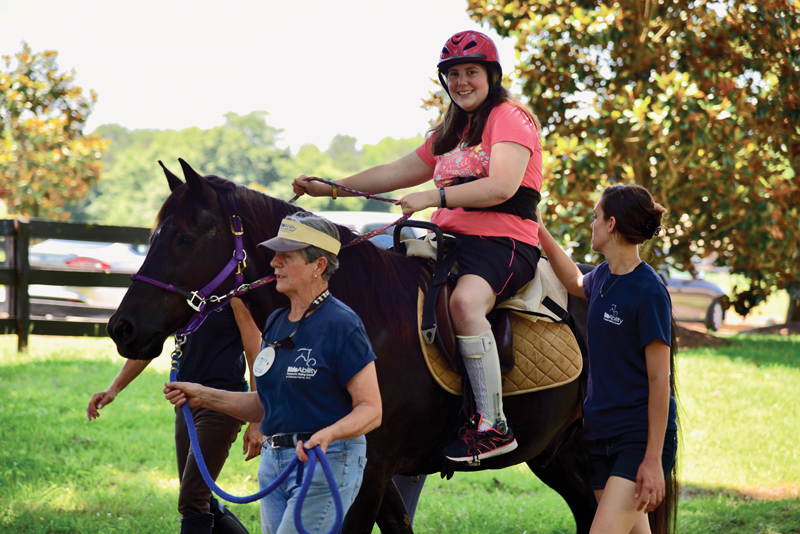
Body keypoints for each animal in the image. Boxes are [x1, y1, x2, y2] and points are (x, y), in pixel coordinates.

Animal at [108, 162, 592, 534]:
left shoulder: (369, 472)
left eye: (184, 239)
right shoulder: (376, 473)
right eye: (154, 235)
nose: (121, 328)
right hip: (557, 454)